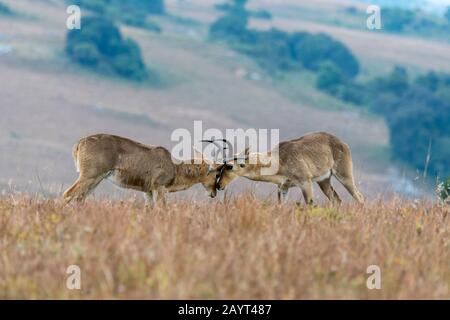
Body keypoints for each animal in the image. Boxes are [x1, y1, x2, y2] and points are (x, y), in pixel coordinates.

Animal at [62, 133, 229, 205]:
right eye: (217, 173)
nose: (214, 192)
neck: (174, 168)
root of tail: (80, 143)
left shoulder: (147, 192)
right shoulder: (159, 189)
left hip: (96, 180)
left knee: (80, 198)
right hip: (89, 177)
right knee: (68, 194)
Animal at [213, 132, 364, 205]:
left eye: (229, 166)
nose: (219, 185)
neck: (279, 160)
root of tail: (342, 143)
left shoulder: (305, 182)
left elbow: (310, 204)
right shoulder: (283, 187)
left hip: (344, 176)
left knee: (359, 197)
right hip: (324, 181)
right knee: (337, 200)